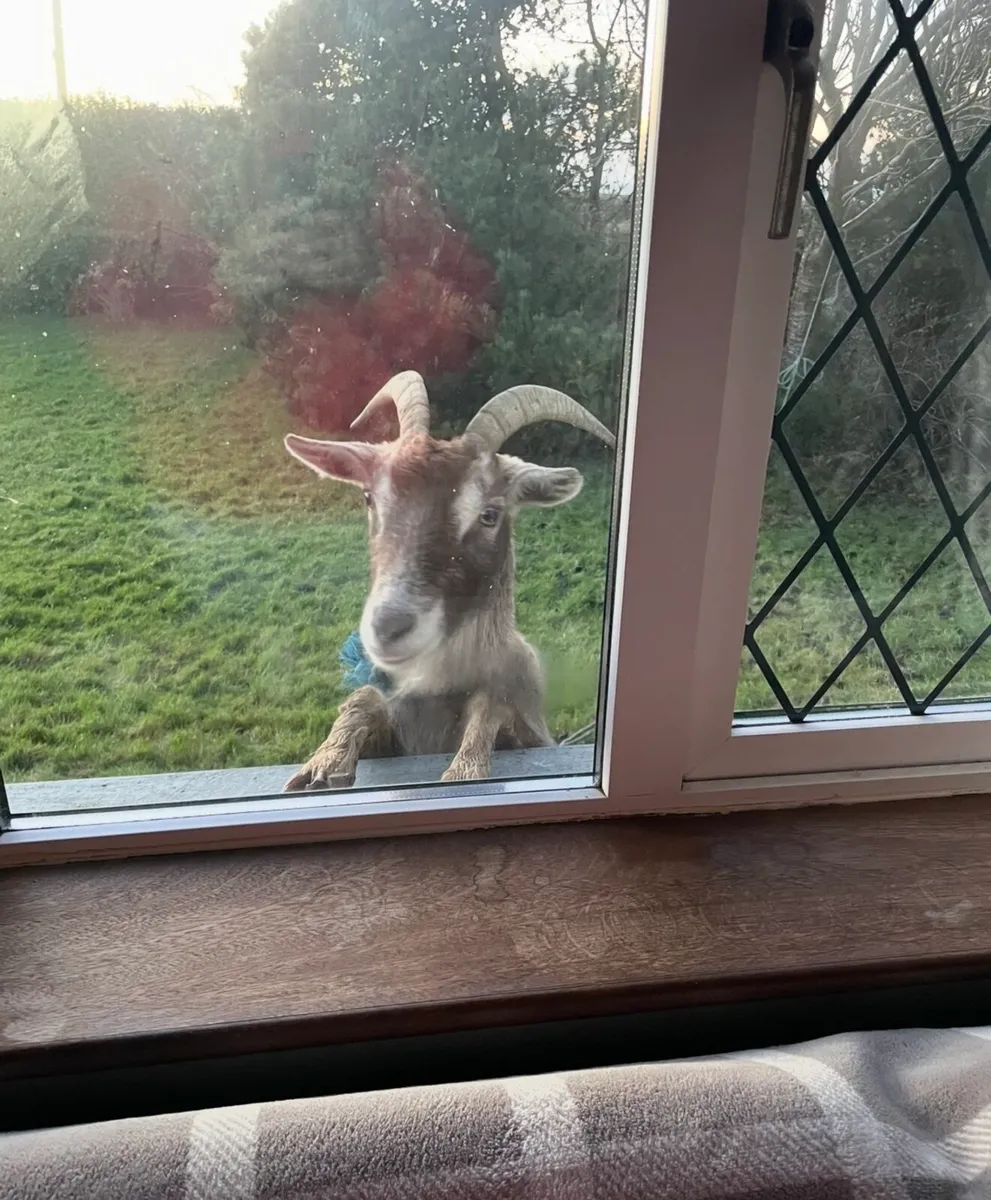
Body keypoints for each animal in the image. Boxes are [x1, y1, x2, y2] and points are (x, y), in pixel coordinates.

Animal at [282, 371, 614, 790]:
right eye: (369, 498)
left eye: (490, 514)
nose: (389, 627)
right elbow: (364, 699)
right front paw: (321, 767)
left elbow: (490, 708)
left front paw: (464, 770)